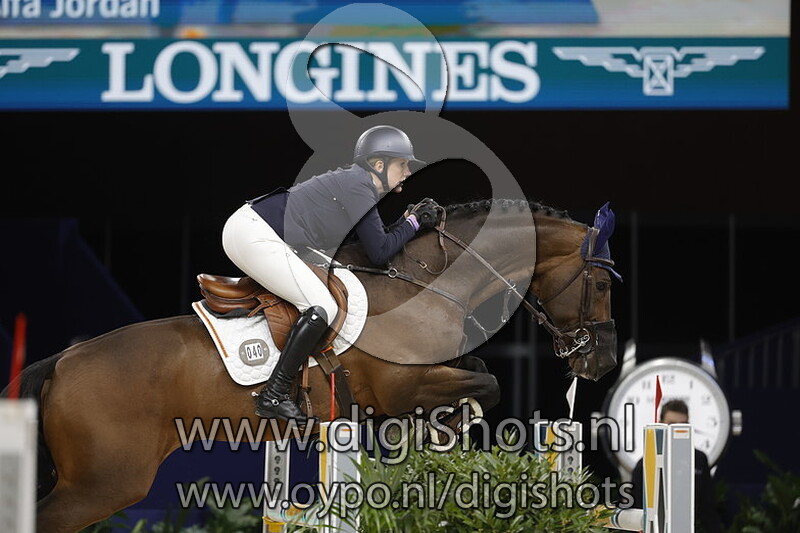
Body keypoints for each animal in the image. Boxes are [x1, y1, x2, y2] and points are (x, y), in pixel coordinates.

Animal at [3, 198, 620, 533]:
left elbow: (475, 377)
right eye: (601, 284)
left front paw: (433, 432)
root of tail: (62, 362)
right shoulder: (402, 385)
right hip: (106, 484)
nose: (603, 362)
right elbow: (485, 385)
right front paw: (445, 424)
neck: (427, 285)